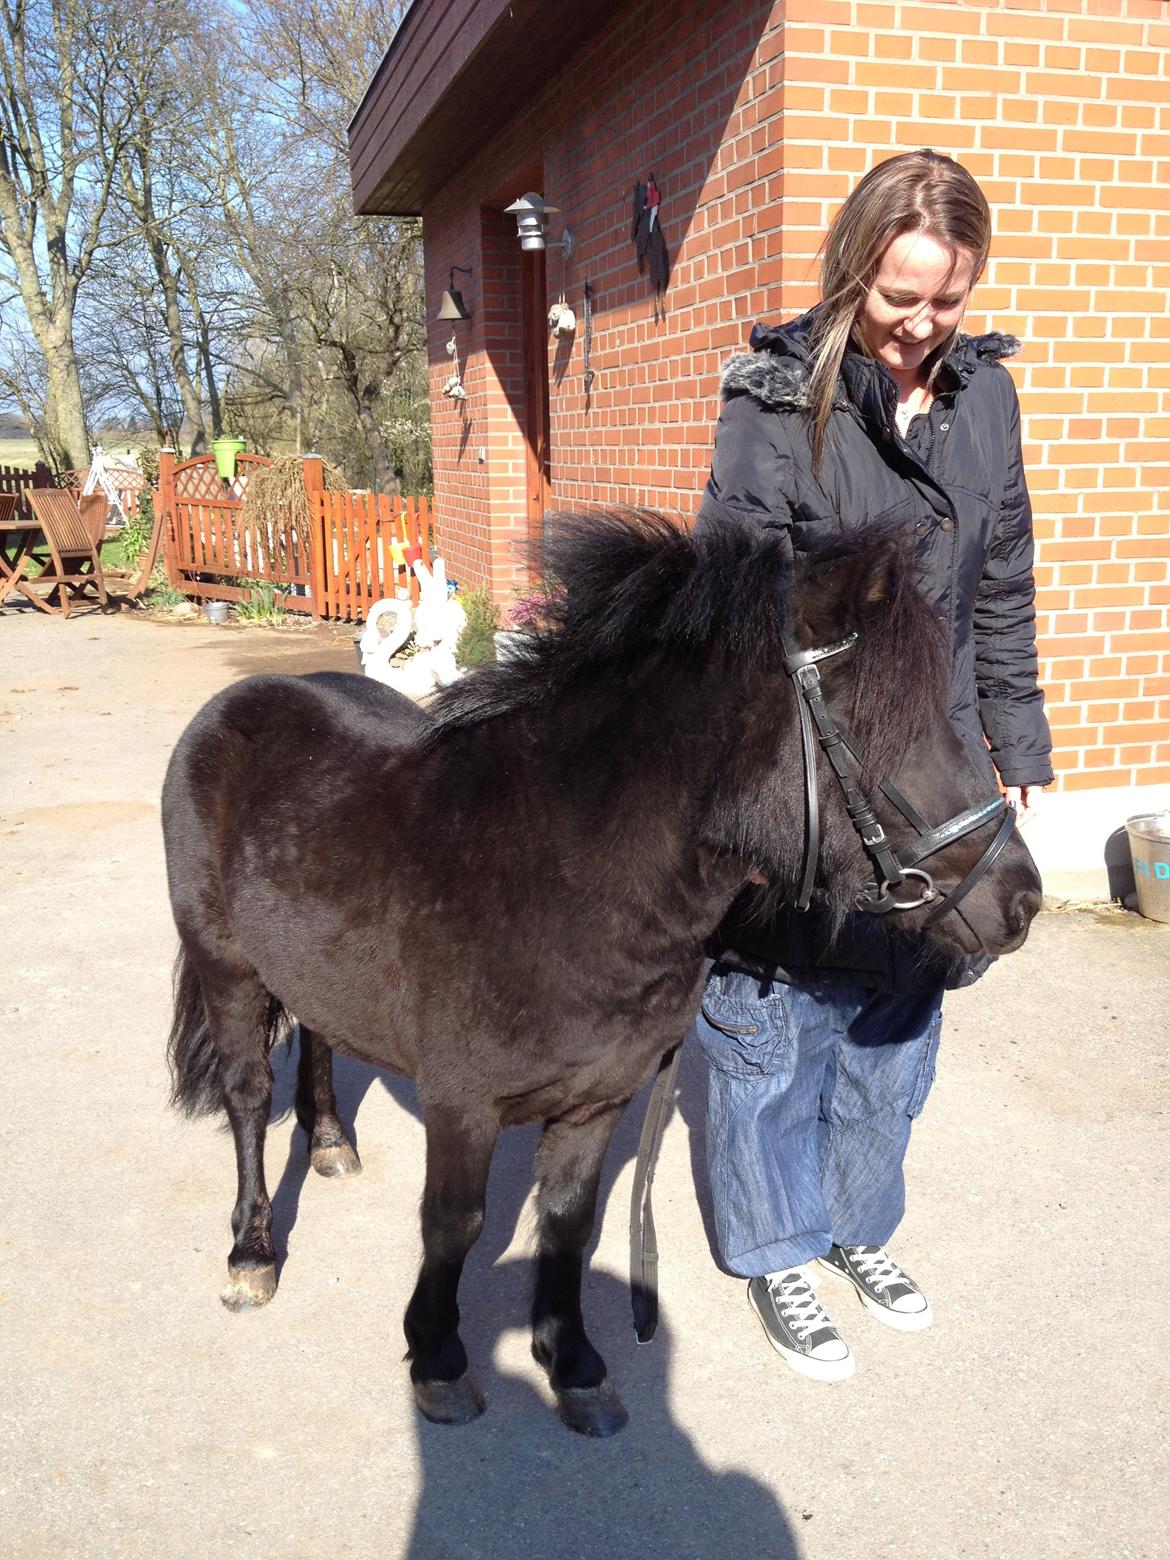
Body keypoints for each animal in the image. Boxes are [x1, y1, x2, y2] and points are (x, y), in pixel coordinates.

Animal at [165, 511, 1042, 1435]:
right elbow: (453, 1226)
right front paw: (437, 1358)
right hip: (225, 967)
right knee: (248, 1097)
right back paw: (252, 1254)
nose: (1022, 899)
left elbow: (567, 1224)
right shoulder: (461, 1103)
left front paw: (572, 1361)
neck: (560, 874)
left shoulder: (599, 1102)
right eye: (883, 725)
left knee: (320, 1037)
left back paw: (332, 1142)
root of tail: (238, 704)